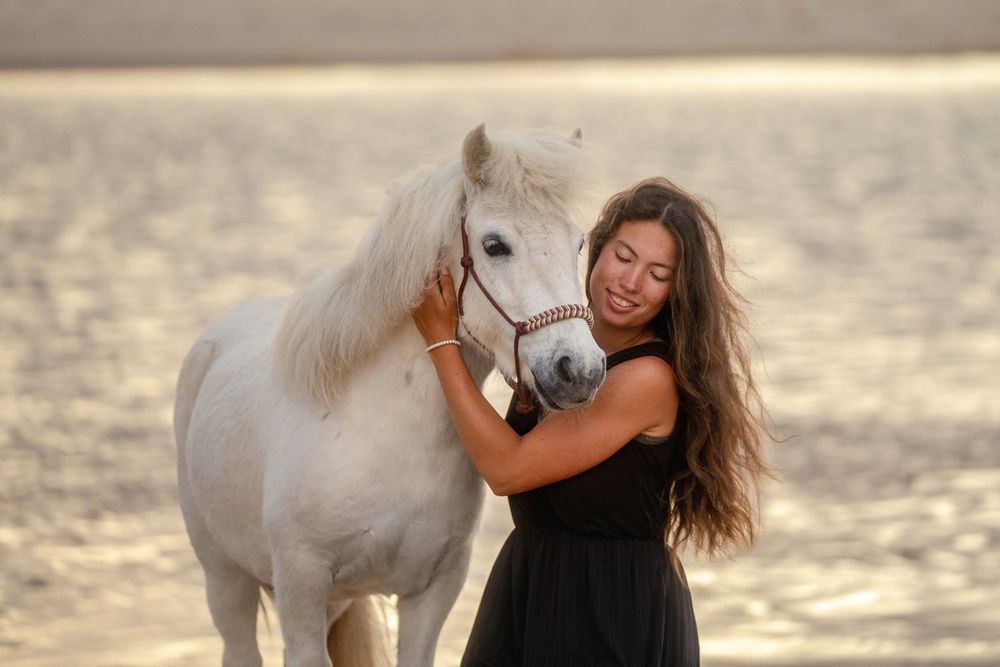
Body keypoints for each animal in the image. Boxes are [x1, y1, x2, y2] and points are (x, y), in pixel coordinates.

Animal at [173, 124, 606, 667]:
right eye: (494, 245)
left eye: (579, 242)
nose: (580, 371)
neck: (389, 433)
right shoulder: (300, 583)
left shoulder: (433, 592)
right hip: (224, 579)